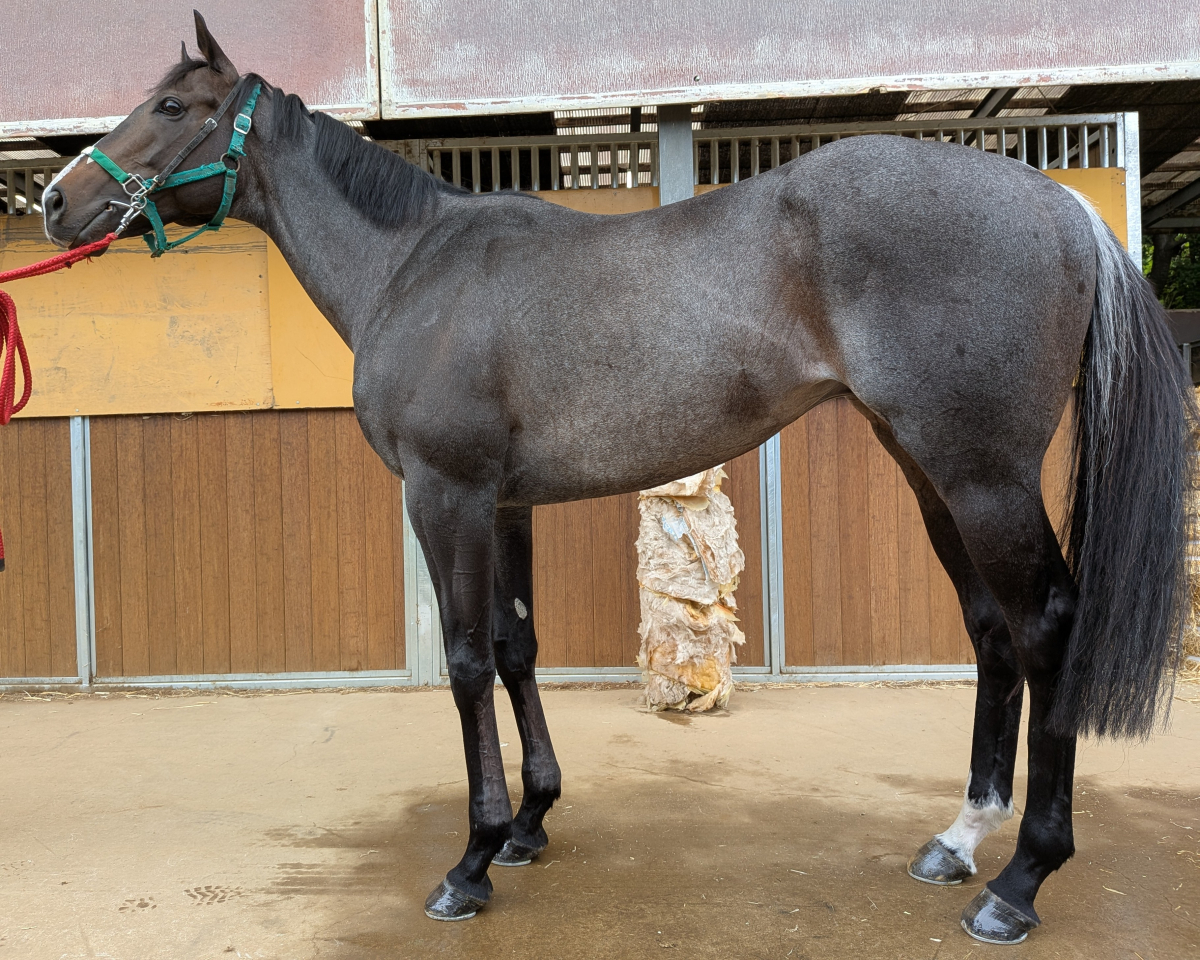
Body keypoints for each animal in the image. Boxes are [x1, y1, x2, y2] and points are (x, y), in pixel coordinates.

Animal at [41, 12, 1195, 945]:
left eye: (174, 106)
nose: (56, 199)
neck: (416, 268)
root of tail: (1059, 205)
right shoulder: (503, 502)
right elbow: (517, 648)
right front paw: (531, 823)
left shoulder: (445, 495)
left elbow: (466, 660)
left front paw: (472, 860)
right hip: (929, 470)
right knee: (992, 631)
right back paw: (958, 840)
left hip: (982, 477)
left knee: (1045, 627)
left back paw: (1020, 881)